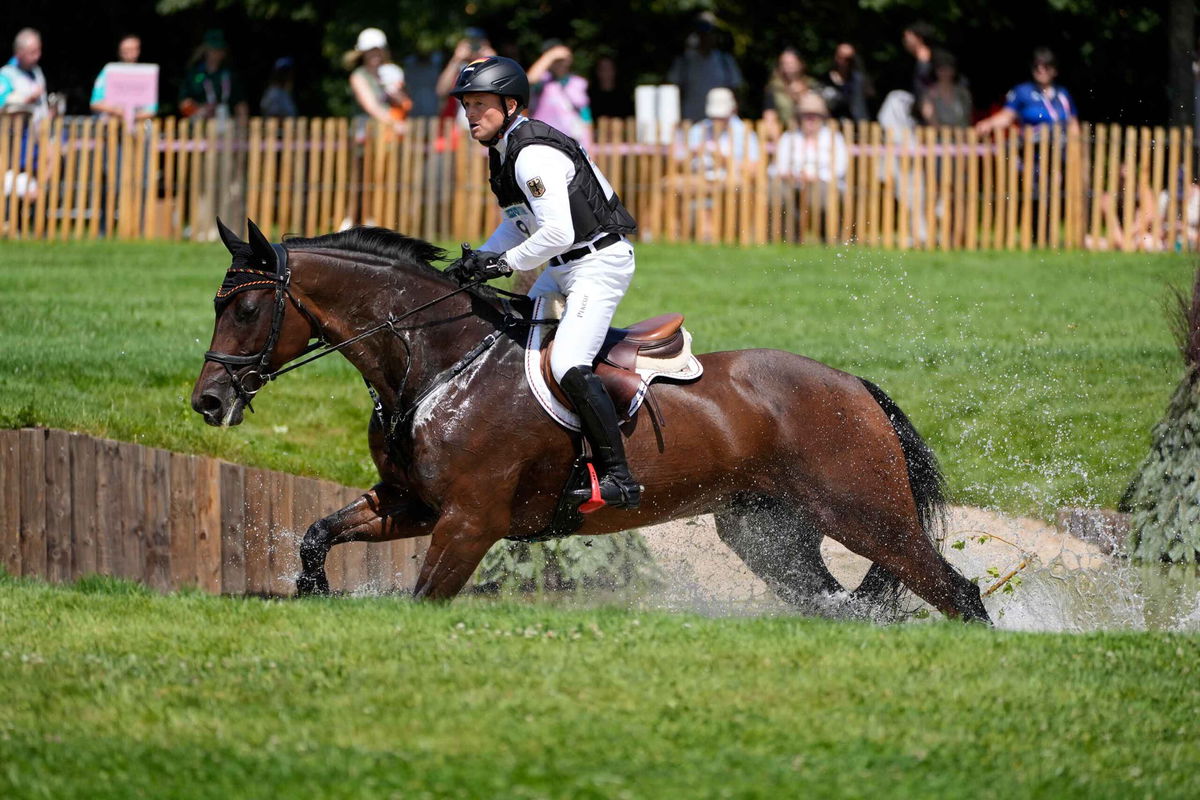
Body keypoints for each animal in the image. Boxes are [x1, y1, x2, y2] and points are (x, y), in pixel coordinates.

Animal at [192, 220, 988, 623]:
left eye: (247, 307)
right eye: (218, 303)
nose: (207, 402)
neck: (438, 364)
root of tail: (851, 385)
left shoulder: (469, 522)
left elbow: (423, 599)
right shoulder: (412, 504)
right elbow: (317, 535)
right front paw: (313, 596)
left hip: (867, 515)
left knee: (956, 592)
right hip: (768, 533)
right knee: (838, 602)